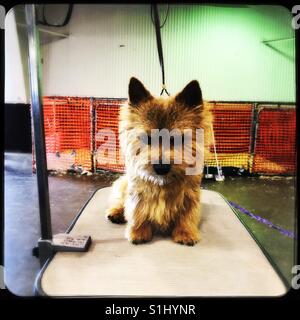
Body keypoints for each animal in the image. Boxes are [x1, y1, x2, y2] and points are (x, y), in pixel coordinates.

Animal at [105, 77, 213, 245]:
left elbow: (187, 214)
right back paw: (115, 212)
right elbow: (137, 209)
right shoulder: (138, 191)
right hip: (123, 184)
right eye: (147, 139)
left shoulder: (190, 195)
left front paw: (185, 232)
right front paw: (138, 231)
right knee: (119, 200)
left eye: (177, 139)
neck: (163, 183)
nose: (161, 167)